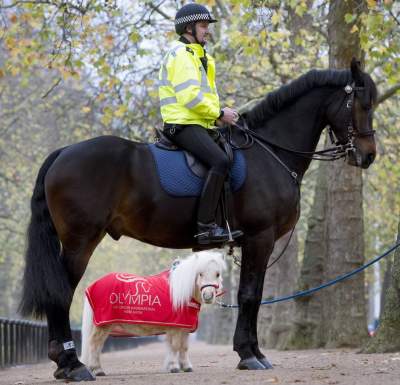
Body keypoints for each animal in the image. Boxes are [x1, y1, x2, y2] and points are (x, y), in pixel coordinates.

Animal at [20, 58, 376, 380]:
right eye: (361, 103)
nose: (368, 155)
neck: (269, 154)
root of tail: (63, 153)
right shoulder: (260, 238)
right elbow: (249, 295)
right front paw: (248, 355)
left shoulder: (257, 243)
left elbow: (255, 294)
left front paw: (256, 352)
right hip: (81, 241)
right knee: (61, 294)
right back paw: (72, 365)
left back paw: (64, 363)